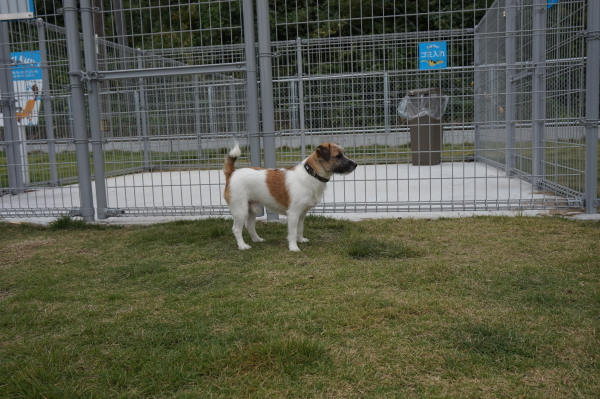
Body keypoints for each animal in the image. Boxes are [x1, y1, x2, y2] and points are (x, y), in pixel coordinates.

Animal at [224, 142, 356, 252]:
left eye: (344, 154)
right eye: (338, 156)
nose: (355, 164)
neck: (311, 174)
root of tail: (232, 173)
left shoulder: (302, 214)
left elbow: (300, 228)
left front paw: (300, 240)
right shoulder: (293, 214)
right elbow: (292, 232)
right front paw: (293, 247)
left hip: (251, 209)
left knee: (250, 226)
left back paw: (257, 239)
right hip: (240, 210)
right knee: (236, 229)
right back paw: (242, 246)